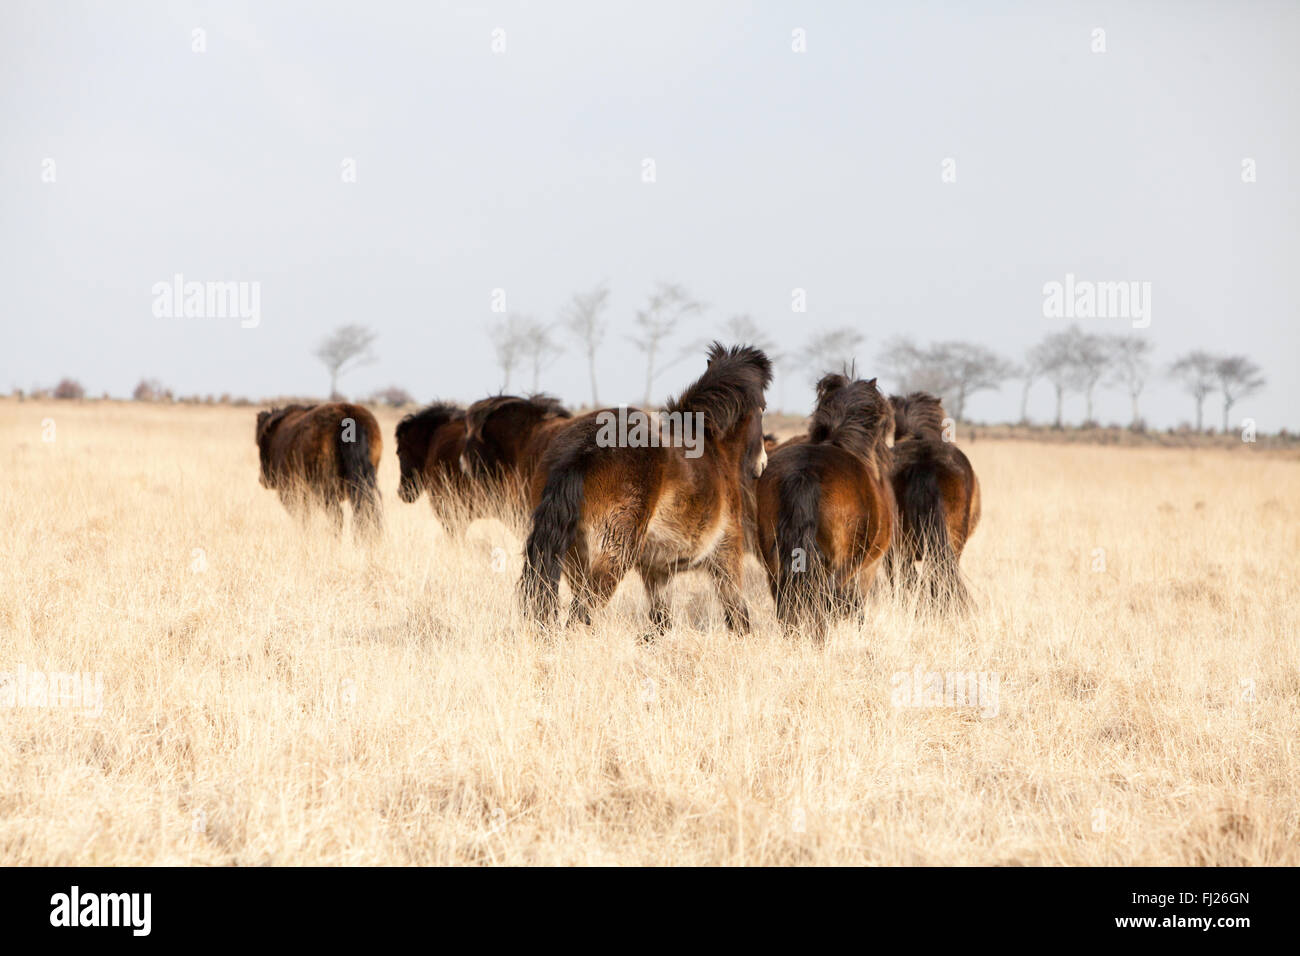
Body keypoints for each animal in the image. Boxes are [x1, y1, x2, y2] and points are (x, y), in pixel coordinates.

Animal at [254, 403, 382, 538]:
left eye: (260, 443)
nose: (262, 479)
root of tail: (348, 415)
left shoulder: (290, 493)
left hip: (326, 491)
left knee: (337, 517)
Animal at [517, 340, 769, 639]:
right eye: (763, 408)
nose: (762, 465)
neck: (713, 446)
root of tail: (582, 448)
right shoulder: (726, 554)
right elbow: (738, 616)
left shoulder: (657, 571)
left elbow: (661, 622)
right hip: (611, 557)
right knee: (582, 613)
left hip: (574, 561)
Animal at [754, 377, 894, 639]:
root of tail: (805, 471)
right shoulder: (867, 569)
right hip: (839, 567)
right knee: (823, 604)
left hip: (774, 562)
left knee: (786, 606)